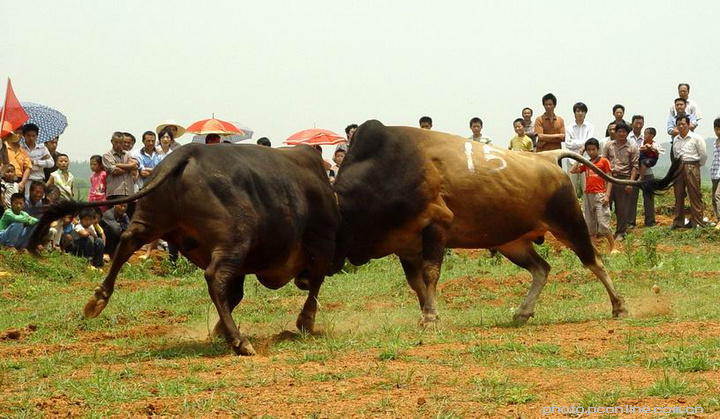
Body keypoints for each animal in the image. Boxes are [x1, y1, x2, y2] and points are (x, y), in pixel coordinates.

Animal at [29, 144, 338, 354]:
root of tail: (189, 151)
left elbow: (237, 294)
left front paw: (218, 330)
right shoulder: (321, 246)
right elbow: (315, 285)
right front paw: (306, 322)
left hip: (152, 220)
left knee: (128, 241)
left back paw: (98, 299)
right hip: (235, 238)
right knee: (215, 276)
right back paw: (240, 341)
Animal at [334, 120, 668, 326]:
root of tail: (548, 157)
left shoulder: (435, 227)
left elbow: (429, 275)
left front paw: (429, 317)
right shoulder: (405, 246)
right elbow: (416, 284)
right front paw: (427, 313)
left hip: (570, 224)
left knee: (594, 261)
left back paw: (619, 306)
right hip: (513, 242)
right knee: (542, 269)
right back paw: (523, 311)